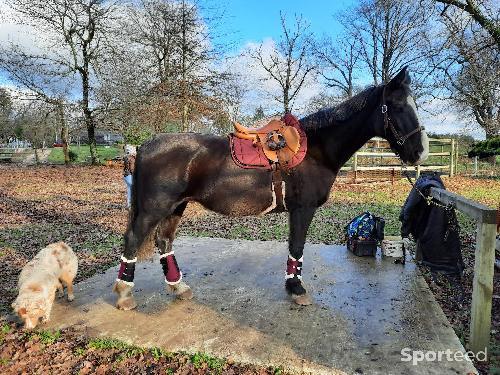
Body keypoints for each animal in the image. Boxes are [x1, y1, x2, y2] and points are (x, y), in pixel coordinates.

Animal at [113, 66, 430, 310]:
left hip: (176, 207)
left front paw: (292, 286)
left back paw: (179, 288)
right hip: (154, 209)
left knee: (164, 242)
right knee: (133, 239)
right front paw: (297, 289)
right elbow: (297, 247)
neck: (316, 150)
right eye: (398, 106)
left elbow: (293, 248)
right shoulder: (303, 209)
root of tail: (143, 146)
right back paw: (125, 294)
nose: (421, 152)